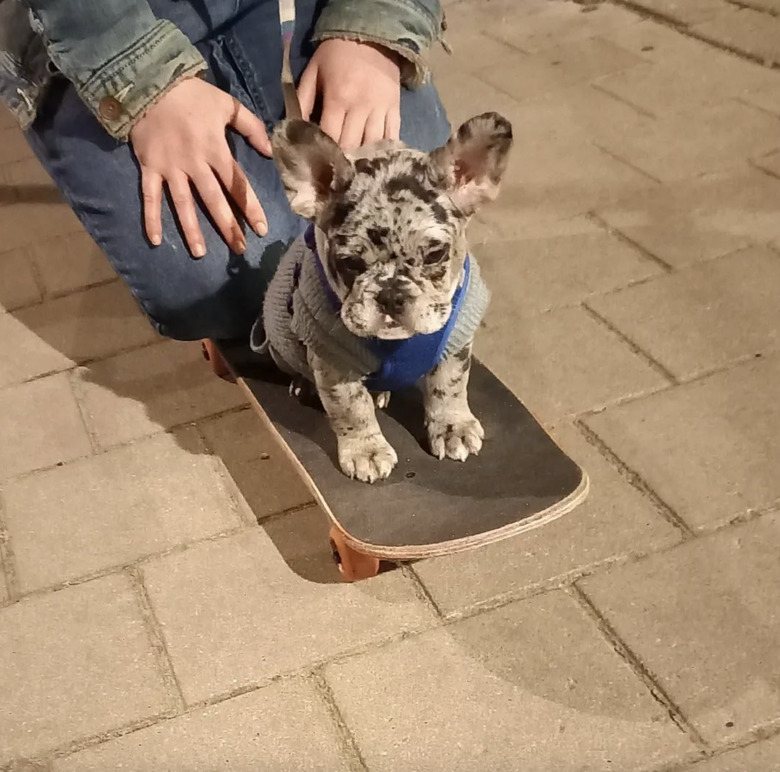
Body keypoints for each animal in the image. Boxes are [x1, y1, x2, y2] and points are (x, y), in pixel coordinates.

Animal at [253, 110, 516, 482]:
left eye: (435, 255)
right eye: (350, 262)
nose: (391, 294)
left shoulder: (457, 341)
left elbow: (450, 384)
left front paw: (452, 426)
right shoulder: (333, 362)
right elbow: (351, 407)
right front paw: (366, 450)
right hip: (281, 347)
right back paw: (305, 386)